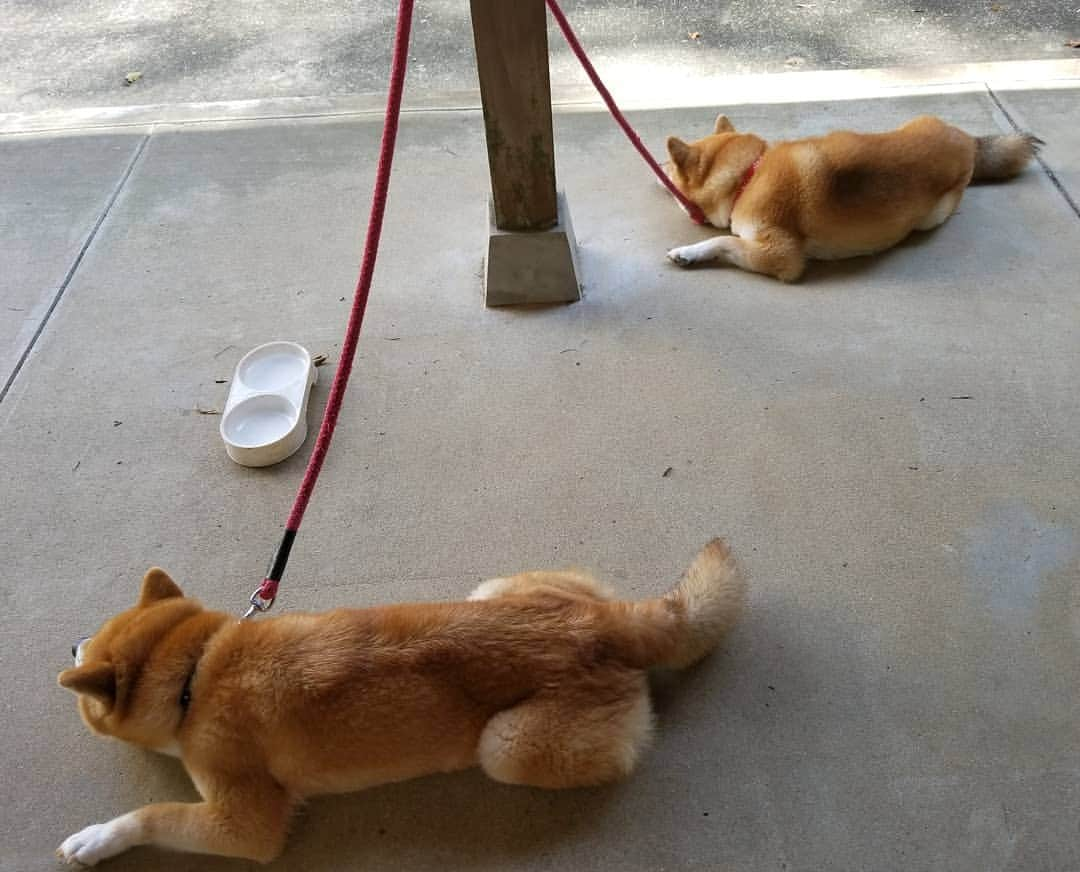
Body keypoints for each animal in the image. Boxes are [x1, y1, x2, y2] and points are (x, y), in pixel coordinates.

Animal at [59, 538, 747, 864]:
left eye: (88, 649)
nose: (71, 643)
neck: (195, 670)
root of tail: (607, 622)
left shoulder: (244, 824)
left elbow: (153, 814)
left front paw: (97, 838)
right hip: (492, 589)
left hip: (504, 747)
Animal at [660, 112, 1041, 280]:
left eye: (670, 169)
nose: (658, 167)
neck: (748, 176)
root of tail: (966, 140)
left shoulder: (779, 255)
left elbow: (724, 241)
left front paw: (689, 252)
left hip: (932, 215)